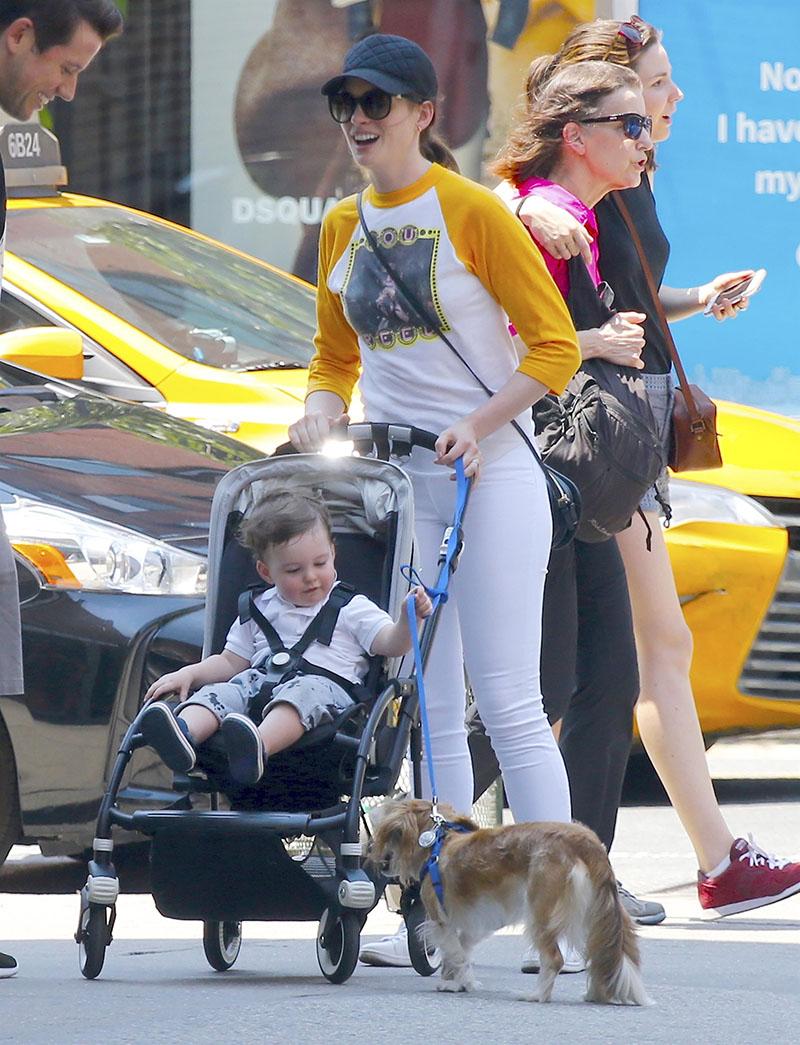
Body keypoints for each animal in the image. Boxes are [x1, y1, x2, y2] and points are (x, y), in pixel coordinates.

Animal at [369, 798, 651, 1003]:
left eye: (390, 838)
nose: (381, 866)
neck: (440, 841)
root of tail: (586, 842)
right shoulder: (476, 923)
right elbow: (461, 950)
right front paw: (456, 981)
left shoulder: (441, 922)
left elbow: (456, 954)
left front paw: (459, 982)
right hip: (594, 915)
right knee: (603, 954)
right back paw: (595, 993)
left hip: (542, 911)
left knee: (554, 958)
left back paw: (537, 995)